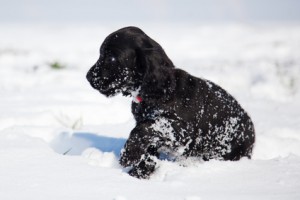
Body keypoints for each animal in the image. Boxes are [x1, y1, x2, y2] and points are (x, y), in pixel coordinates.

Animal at [86, 26, 255, 178]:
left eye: (111, 58)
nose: (88, 77)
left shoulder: (181, 131)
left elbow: (145, 127)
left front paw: (129, 154)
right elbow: (148, 146)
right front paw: (140, 172)